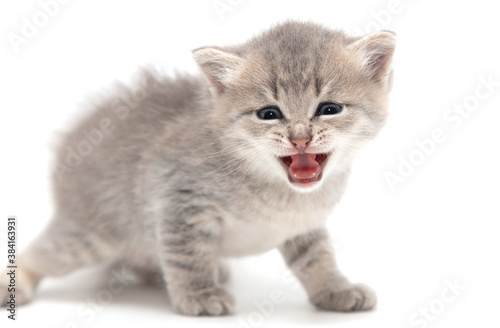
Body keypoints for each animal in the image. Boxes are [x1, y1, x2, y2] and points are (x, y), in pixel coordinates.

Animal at [1, 21, 396, 316]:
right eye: (269, 113)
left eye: (329, 109)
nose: (300, 138)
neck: (279, 193)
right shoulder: (178, 201)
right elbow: (187, 255)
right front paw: (199, 295)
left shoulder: (305, 225)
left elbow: (318, 258)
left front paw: (335, 290)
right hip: (90, 235)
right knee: (42, 253)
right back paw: (15, 284)